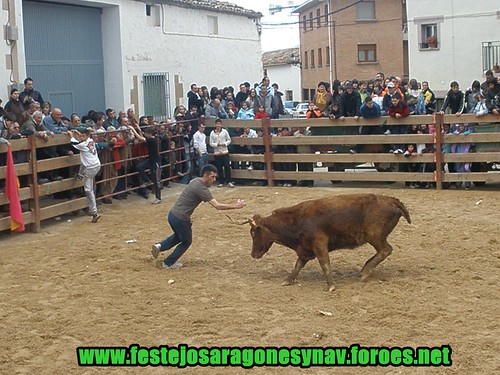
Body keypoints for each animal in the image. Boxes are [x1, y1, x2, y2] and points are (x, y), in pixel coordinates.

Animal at [246, 195, 410, 292]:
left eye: (253, 233)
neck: (296, 221)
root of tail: (390, 200)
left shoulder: (319, 244)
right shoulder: (305, 249)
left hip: (375, 236)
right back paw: (365, 269)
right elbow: (298, 266)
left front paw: (331, 285)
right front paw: (288, 280)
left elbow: (325, 264)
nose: (253, 254)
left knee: (386, 250)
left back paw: (365, 272)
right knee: (382, 252)